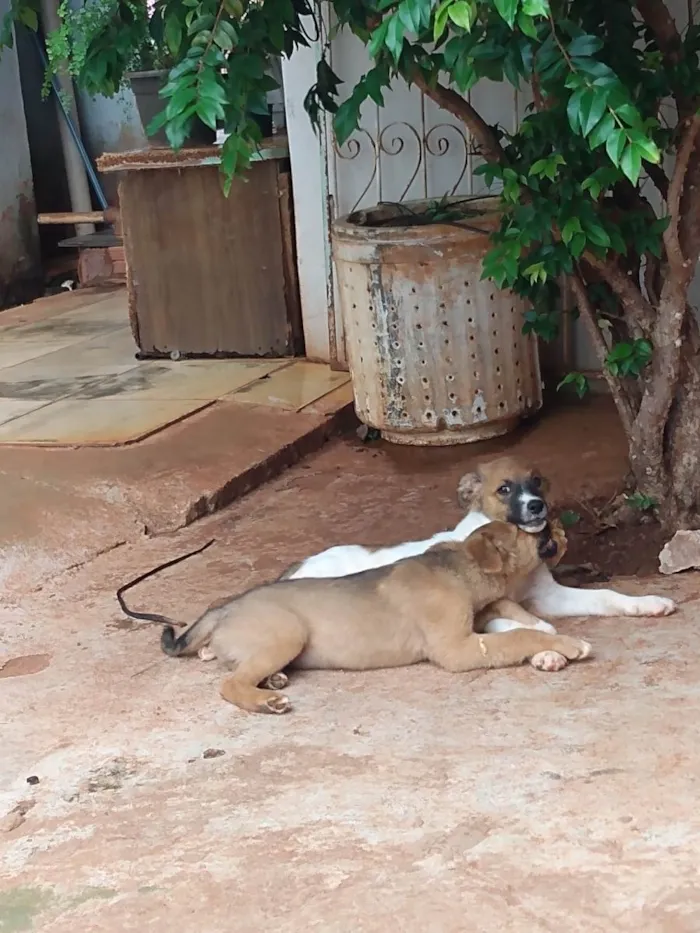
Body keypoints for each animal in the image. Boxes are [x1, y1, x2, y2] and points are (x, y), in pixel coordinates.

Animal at [160, 516, 592, 712]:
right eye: (527, 530)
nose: (556, 526)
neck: (457, 567)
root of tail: (224, 607)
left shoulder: (479, 613)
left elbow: (511, 612)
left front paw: (549, 635)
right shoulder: (456, 647)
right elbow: (516, 635)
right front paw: (567, 644)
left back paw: (275, 680)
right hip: (287, 632)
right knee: (229, 683)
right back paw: (266, 700)